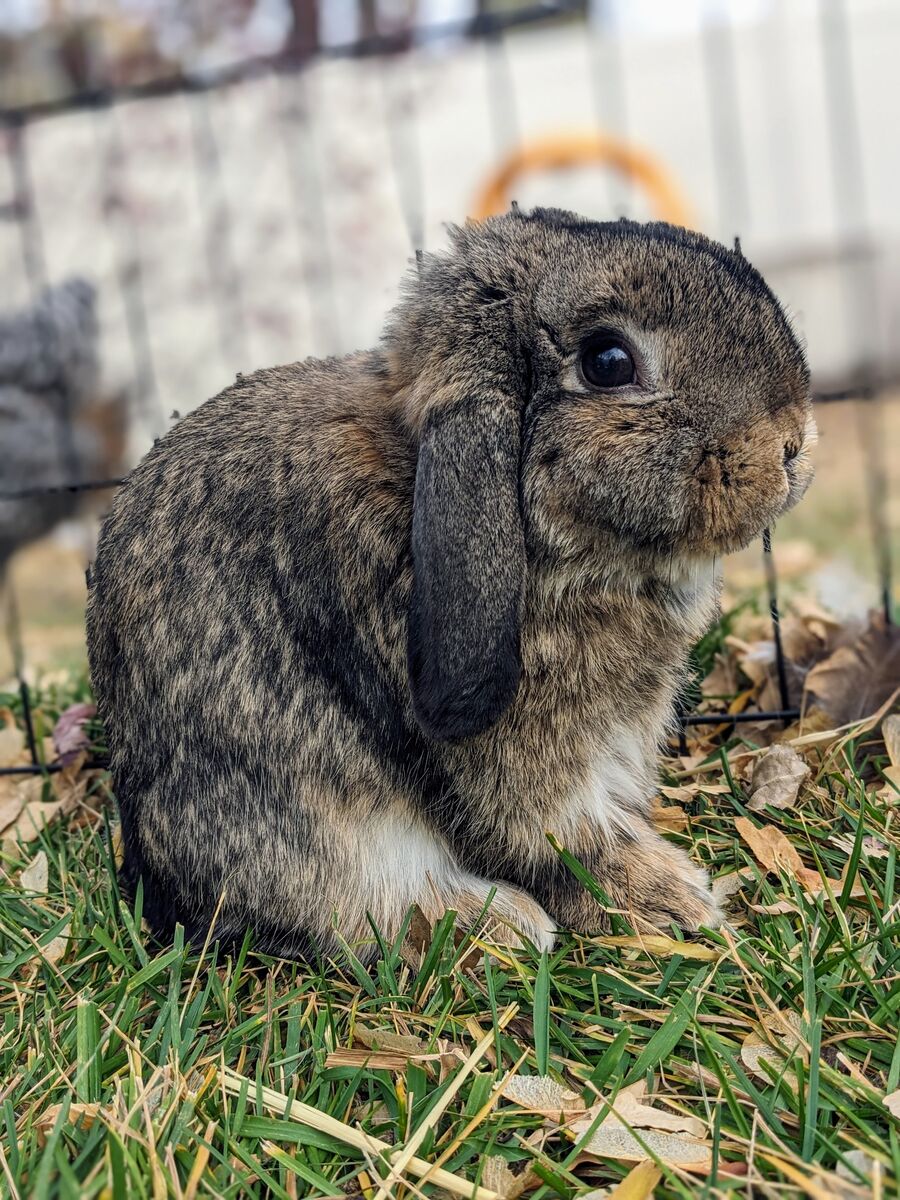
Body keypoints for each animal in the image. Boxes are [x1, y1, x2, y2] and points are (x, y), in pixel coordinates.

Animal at [87, 209, 815, 960]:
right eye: (609, 362)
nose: (790, 446)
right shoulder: (529, 763)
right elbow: (566, 842)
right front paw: (669, 897)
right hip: (305, 814)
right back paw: (502, 923)